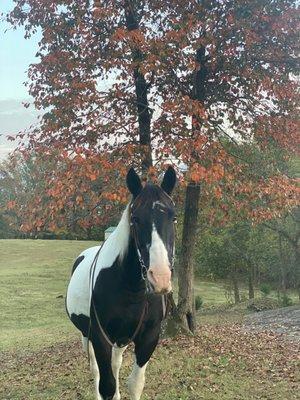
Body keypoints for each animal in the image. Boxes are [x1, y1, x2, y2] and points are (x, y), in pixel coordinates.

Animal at [65, 166, 177, 400]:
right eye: (135, 218)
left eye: (174, 218)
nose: (159, 277)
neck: (132, 291)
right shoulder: (100, 338)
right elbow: (106, 385)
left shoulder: (148, 337)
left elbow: (134, 384)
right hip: (88, 336)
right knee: (97, 371)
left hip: (121, 339)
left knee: (115, 366)